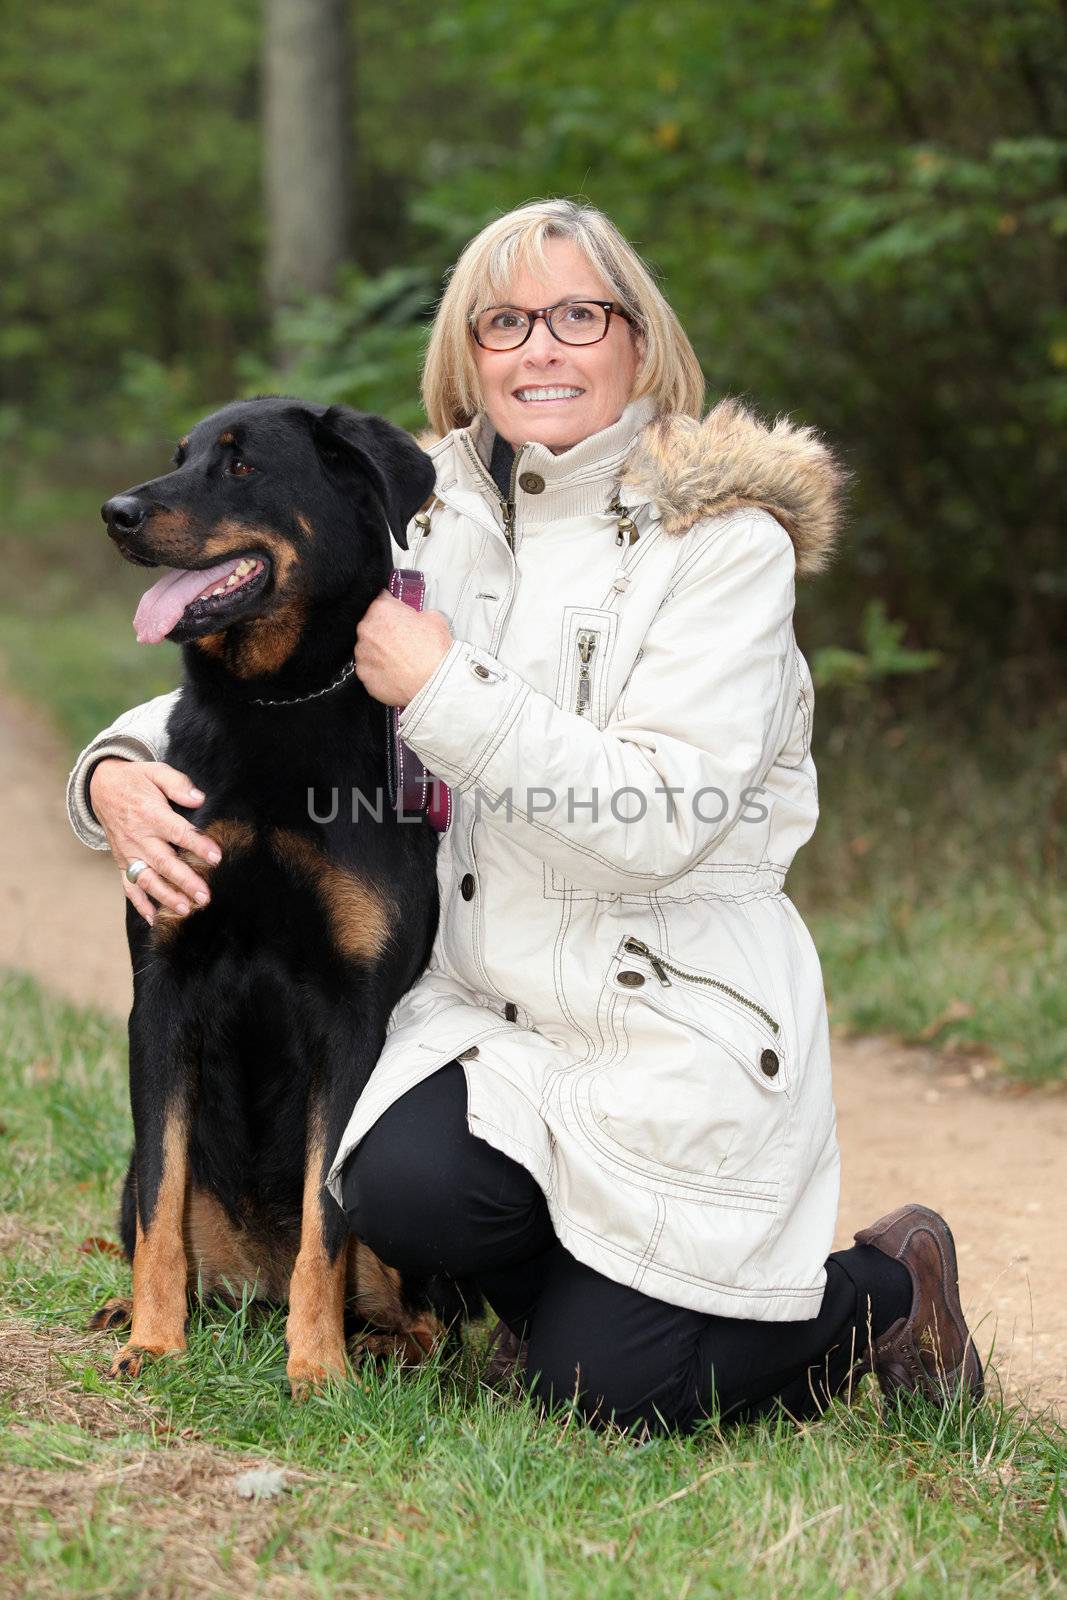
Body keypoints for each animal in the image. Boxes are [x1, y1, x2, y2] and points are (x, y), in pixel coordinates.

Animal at [91, 393, 470, 1395]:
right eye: (179, 454)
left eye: (241, 465)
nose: (116, 513)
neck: (275, 706)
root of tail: (249, 1282)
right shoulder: (165, 988)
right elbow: (161, 1200)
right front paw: (155, 1341)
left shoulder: (355, 1014)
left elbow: (323, 1221)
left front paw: (317, 1369)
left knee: (418, 1307)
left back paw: (379, 1345)